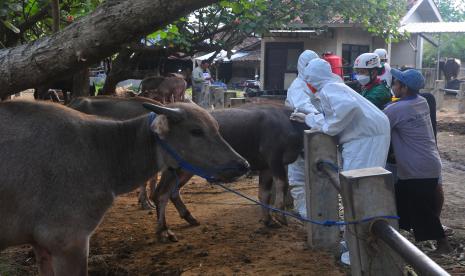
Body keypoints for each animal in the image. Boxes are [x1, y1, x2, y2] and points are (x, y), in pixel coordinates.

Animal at [0, 99, 248, 276]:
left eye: (217, 128)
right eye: (196, 131)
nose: (242, 164)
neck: (103, 154)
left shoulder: (41, 246)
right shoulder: (69, 242)